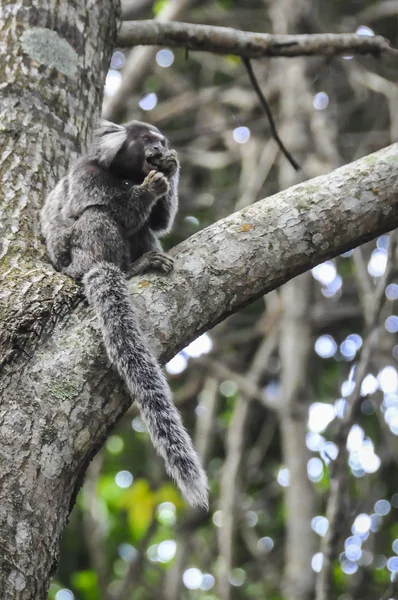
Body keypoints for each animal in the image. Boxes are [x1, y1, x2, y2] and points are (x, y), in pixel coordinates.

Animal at [40, 119, 208, 508]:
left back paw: (146, 260)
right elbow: (114, 208)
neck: (123, 174)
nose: (160, 150)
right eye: (148, 141)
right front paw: (152, 186)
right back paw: (129, 268)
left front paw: (171, 171)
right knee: (97, 215)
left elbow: (158, 222)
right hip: (80, 258)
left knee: (144, 229)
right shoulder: (86, 175)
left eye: (161, 142)